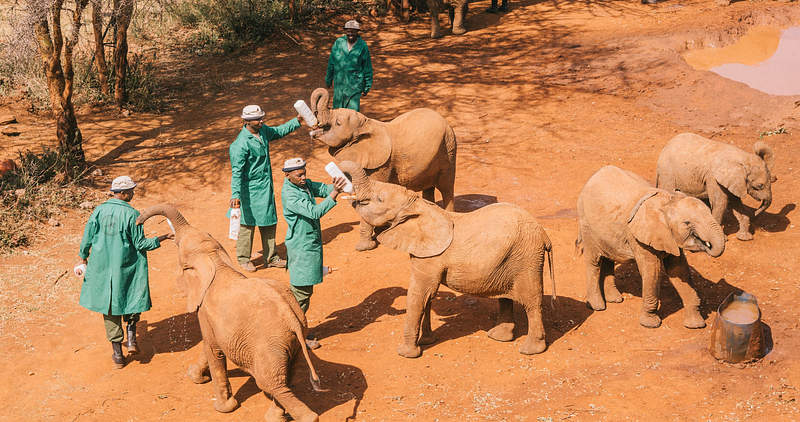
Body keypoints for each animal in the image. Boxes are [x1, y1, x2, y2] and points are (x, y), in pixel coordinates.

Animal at [136, 204, 322, 422]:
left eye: (179, 244)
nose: (138, 222)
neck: (214, 259)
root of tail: (291, 318)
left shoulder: (205, 310)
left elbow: (213, 350)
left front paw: (223, 408)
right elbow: (208, 345)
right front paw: (195, 376)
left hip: (269, 344)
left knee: (271, 384)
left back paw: (298, 417)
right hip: (290, 340)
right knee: (284, 378)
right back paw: (274, 417)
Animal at [310, 87, 457, 251]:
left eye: (338, 123)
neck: (366, 123)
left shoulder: (383, 163)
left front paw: (364, 247)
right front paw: (380, 231)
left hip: (449, 148)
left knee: (446, 188)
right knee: (429, 187)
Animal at [338, 161, 556, 358]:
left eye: (380, 199)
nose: (339, 182)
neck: (418, 206)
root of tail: (544, 235)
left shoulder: (430, 258)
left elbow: (418, 294)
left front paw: (406, 354)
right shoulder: (424, 253)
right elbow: (426, 297)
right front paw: (427, 341)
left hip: (527, 258)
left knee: (531, 303)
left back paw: (530, 350)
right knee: (505, 297)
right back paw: (498, 337)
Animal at [576, 166, 726, 329]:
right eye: (687, 223)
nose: (707, 244)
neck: (666, 202)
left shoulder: (668, 236)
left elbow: (679, 270)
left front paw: (696, 325)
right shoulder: (638, 236)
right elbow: (652, 271)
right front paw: (650, 324)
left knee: (609, 257)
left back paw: (615, 299)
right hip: (586, 223)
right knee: (594, 261)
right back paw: (597, 306)